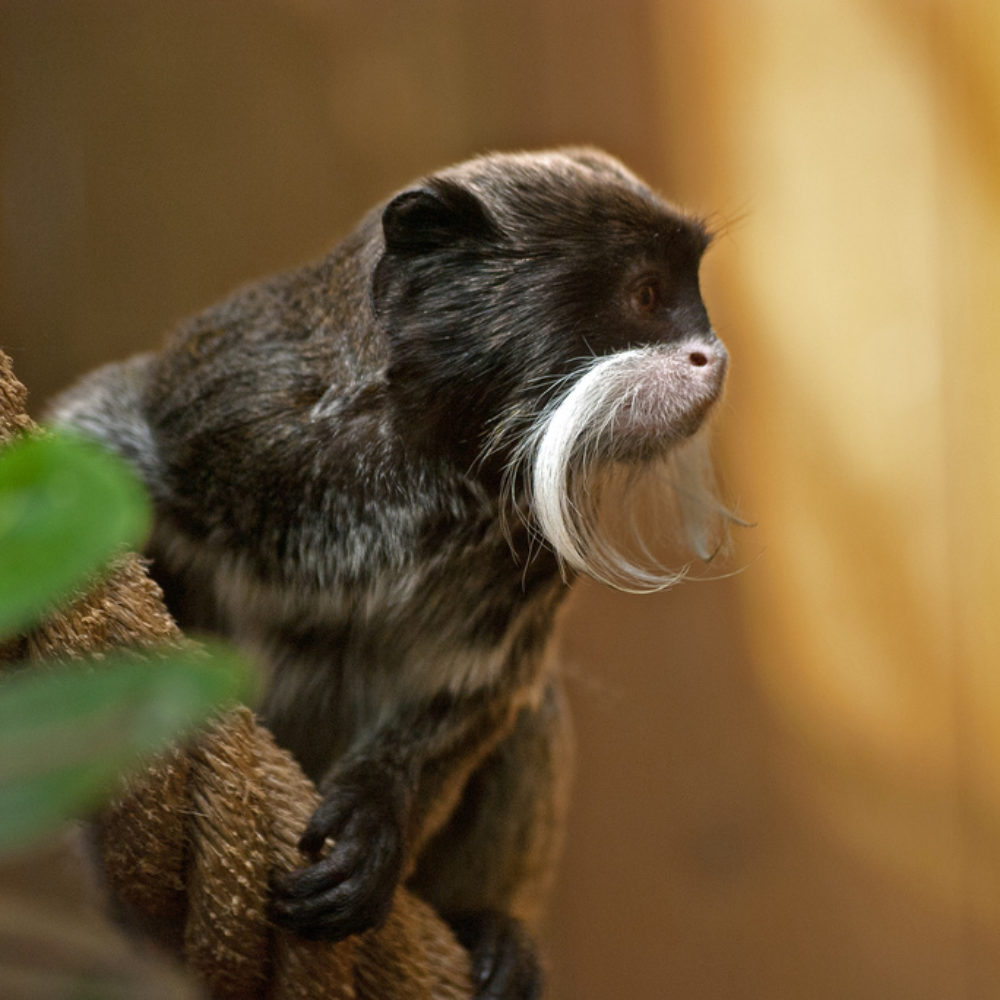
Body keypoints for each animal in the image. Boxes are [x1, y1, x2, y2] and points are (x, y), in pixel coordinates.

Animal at [47, 148, 732, 1000]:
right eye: (645, 294)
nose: (716, 357)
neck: (426, 461)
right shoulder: (229, 409)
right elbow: (101, 435)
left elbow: (472, 685)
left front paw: (378, 817)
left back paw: (490, 928)